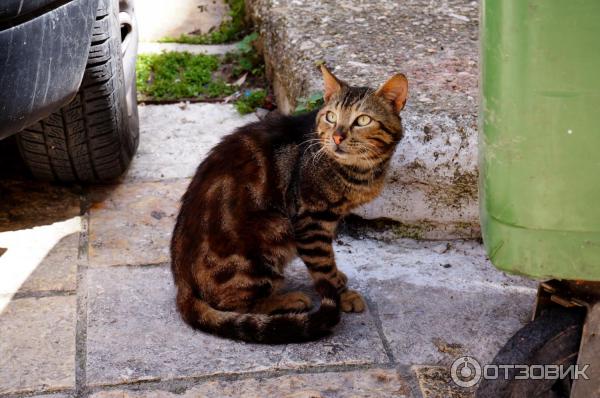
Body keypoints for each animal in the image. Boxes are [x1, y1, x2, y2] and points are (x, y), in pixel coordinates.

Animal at [171, 65, 410, 342]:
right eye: (331, 117)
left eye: (362, 120)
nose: (337, 137)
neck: (359, 171)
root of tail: (182, 284)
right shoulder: (312, 221)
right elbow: (324, 267)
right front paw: (342, 294)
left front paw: (339, 280)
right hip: (274, 230)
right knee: (236, 306)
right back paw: (287, 300)